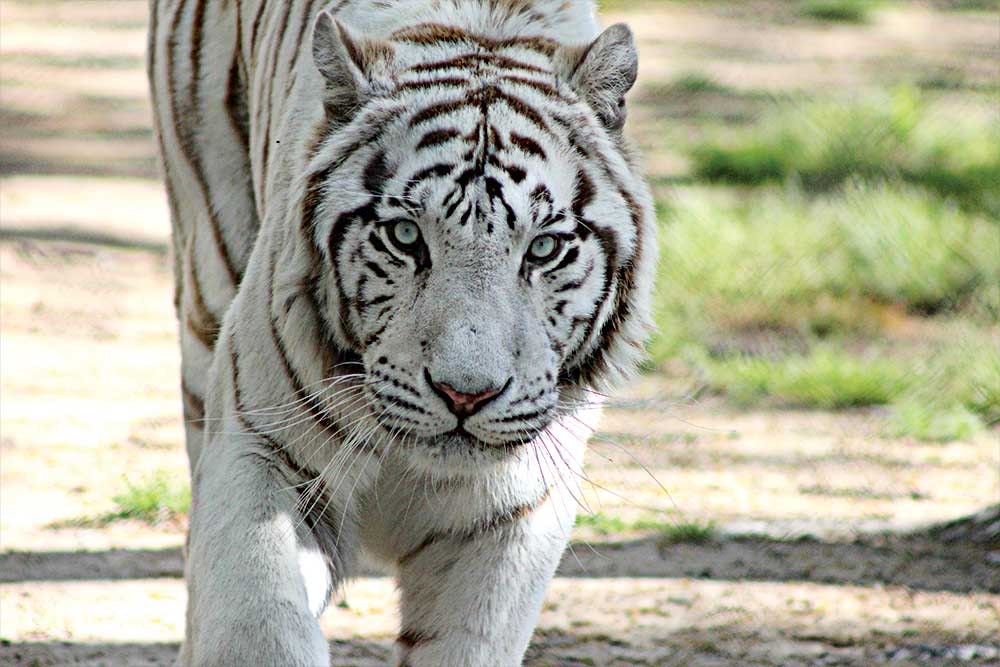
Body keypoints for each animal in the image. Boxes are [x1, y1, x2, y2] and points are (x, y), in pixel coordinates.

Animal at [147, 0, 657, 664]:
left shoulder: (513, 514)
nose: (465, 394)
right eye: (407, 236)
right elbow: (260, 622)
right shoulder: (259, 449)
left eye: (543, 248)